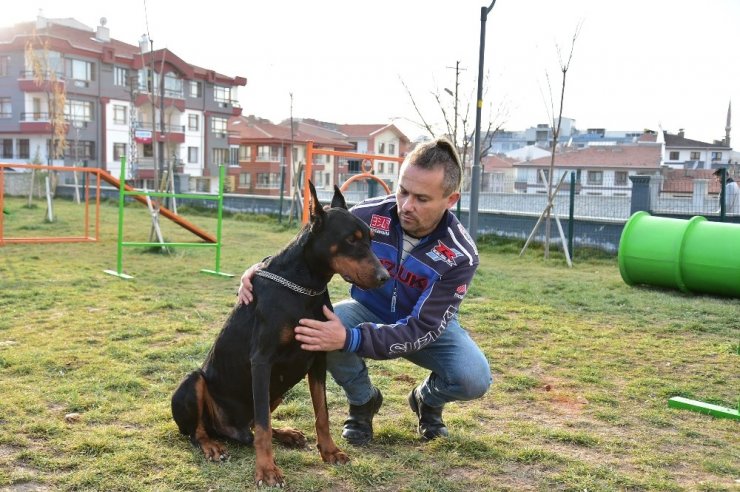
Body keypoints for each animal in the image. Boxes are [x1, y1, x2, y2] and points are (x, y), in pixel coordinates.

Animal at [173, 182, 390, 488]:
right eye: (351, 239)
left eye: (371, 239)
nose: (385, 277)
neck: (304, 286)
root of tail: (230, 431)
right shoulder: (262, 361)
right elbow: (264, 426)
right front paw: (266, 470)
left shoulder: (318, 358)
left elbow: (321, 413)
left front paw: (330, 451)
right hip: (194, 382)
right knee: (201, 431)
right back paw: (212, 446)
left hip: (277, 390)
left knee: (253, 425)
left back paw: (286, 434)